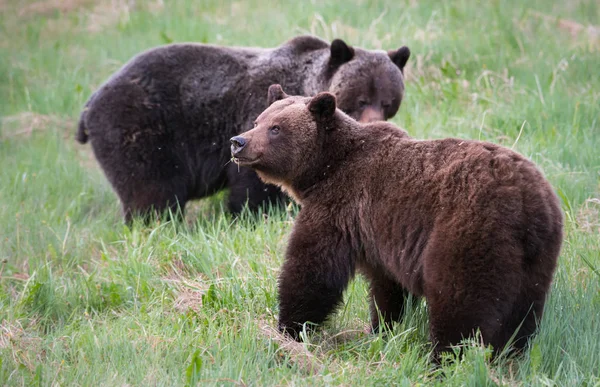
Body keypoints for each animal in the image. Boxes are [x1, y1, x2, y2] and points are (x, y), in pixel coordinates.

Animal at [75, 37, 410, 224]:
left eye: (388, 101)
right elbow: (252, 187)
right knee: (152, 190)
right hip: (140, 129)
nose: (375, 122)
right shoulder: (254, 115)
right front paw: (252, 215)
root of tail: (90, 103)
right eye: (360, 98)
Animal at [230, 84, 564, 360]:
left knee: (459, 302)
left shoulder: (340, 206)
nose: (238, 141)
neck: (326, 168)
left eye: (276, 128)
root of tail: (527, 202)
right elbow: (386, 287)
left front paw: (288, 328)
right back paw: (510, 354)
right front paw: (382, 327)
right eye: (258, 120)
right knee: (523, 312)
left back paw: (442, 360)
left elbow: (312, 269)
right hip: (536, 257)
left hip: (469, 229)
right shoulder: (379, 233)